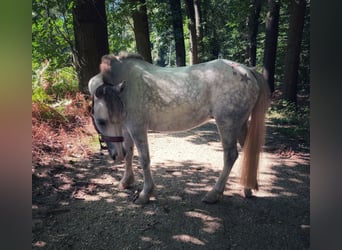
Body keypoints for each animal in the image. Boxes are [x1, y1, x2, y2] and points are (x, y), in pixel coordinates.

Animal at [89, 52, 270, 205]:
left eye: (101, 121)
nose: (116, 156)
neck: (127, 88)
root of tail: (247, 71)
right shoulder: (126, 128)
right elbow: (129, 153)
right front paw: (126, 181)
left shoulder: (137, 128)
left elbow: (144, 159)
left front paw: (145, 194)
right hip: (240, 123)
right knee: (248, 150)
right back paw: (248, 188)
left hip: (228, 123)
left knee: (231, 156)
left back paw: (214, 194)